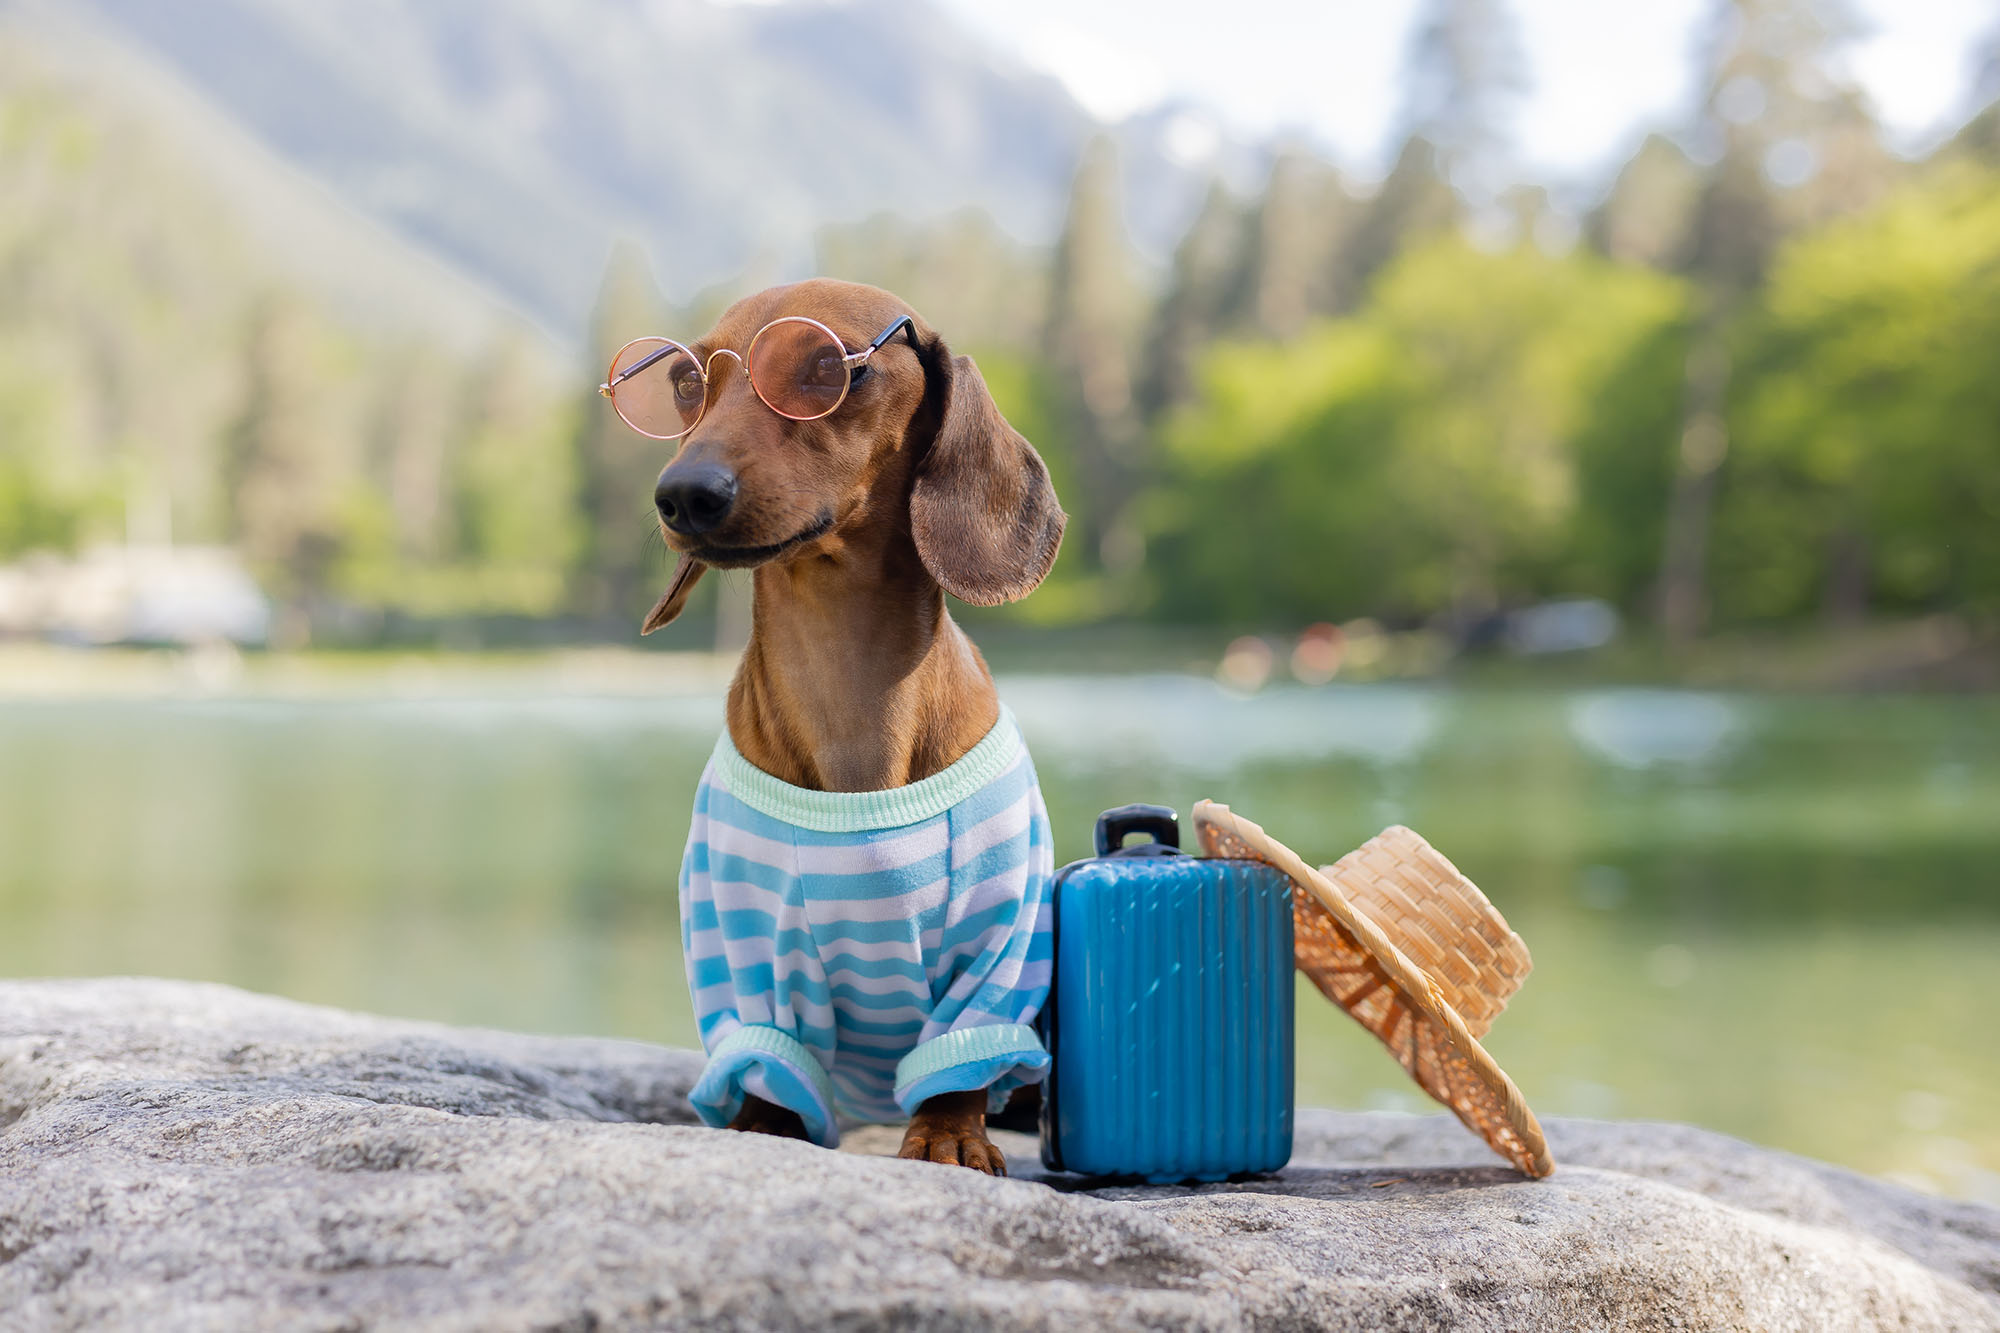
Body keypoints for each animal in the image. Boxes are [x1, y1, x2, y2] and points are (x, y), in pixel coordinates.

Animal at [644, 278, 1072, 1160]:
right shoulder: (746, 950)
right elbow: (768, 1062)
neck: (848, 691)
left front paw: (947, 1135)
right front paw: (761, 1125)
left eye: (827, 368)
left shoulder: (998, 943)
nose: (684, 493)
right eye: (684, 382)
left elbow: (961, 1060)